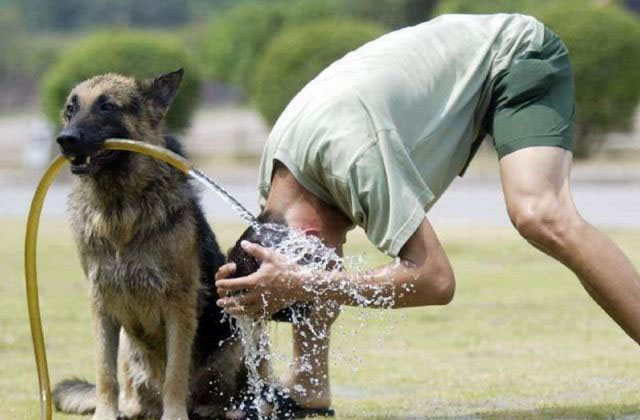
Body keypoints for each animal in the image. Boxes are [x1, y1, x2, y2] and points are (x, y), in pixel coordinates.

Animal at [52, 69, 248, 420]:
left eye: (107, 106)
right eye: (71, 109)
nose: (65, 139)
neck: (119, 211)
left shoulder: (179, 307)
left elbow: (175, 374)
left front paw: (175, 416)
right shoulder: (101, 305)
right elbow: (105, 373)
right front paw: (105, 414)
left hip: (238, 332)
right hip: (129, 349)